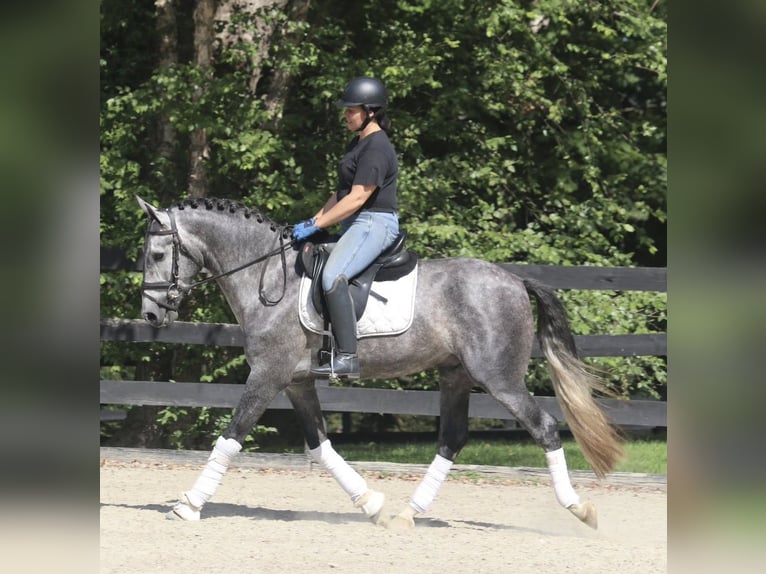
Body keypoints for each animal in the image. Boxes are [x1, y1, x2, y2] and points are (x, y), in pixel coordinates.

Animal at [136, 195, 623, 529]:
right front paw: (371, 504)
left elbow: (230, 436)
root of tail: (515, 279)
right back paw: (408, 514)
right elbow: (320, 447)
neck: (268, 276)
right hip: (455, 375)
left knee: (544, 427)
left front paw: (188, 505)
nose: (151, 316)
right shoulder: (296, 381)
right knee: (452, 438)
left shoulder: (267, 375)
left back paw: (580, 508)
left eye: (158, 255)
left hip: (498, 378)